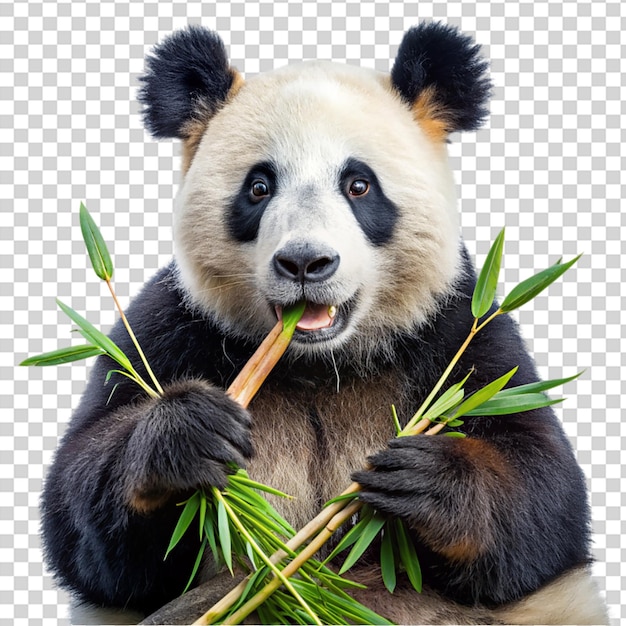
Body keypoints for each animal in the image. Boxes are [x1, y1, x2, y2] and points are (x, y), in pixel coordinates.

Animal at [40, 22, 604, 620]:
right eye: (259, 187)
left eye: (358, 185)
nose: (305, 263)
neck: (317, 362)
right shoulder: (171, 330)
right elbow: (88, 526)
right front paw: (190, 433)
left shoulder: (460, 331)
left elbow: (544, 498)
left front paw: (421, 480)